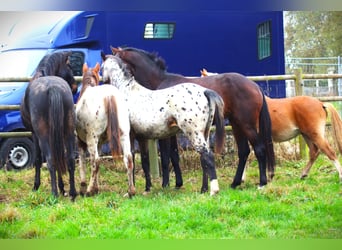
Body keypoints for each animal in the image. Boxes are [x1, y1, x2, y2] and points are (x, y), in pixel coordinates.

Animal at [20, 51, 78, 201]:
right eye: (69, 66)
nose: (75, 87)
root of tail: (53, 87)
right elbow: (60, 158)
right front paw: (62, 188)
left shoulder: (34, 134)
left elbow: (38, 159)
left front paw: (36, 186)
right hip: (68, 131)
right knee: (69, 159)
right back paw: (72, 193)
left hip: (43, 135)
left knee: (50, 160)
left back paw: (54, 194)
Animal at [75, 63, 136, 197]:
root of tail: (109, 95)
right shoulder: (100, 144)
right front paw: (96, 188)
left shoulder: (81, 142)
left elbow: (82, 163)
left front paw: (84, 187)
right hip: (124, 135)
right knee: (128, 158)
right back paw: (131, 191)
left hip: (91, 138)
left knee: (96, 161)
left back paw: (88, 190)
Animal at [101, 54, 224, 195]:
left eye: (101, 67)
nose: (102, 82)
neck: (127, 92)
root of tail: (204, 91)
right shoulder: (141, 138)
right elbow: (144, 161)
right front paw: (147, 188)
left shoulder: (129, 136)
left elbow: (130, 160)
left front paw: (131, 191)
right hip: (205, 134)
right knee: (204, 159)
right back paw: (203, 189)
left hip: (194, 134)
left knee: (207, 156)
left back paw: (213, 190)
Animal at [112, 46, 276, 189]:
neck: (159, 82)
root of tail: (255, 86)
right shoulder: (172, 132)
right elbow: (174, 155)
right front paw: (178, 183)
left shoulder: (164, 134)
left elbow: (165, 157)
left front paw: (165, 184)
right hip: (236, 124)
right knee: (244, 151)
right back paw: (235, 183)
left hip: (246, 125)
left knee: (259, 149)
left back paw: (262, 183)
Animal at [200, 68, 342, 182]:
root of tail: (321, 103)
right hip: (306, 134)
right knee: (314, 152)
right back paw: (303, 174)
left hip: (314, 134)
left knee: (329, 151)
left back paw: (339, 175)